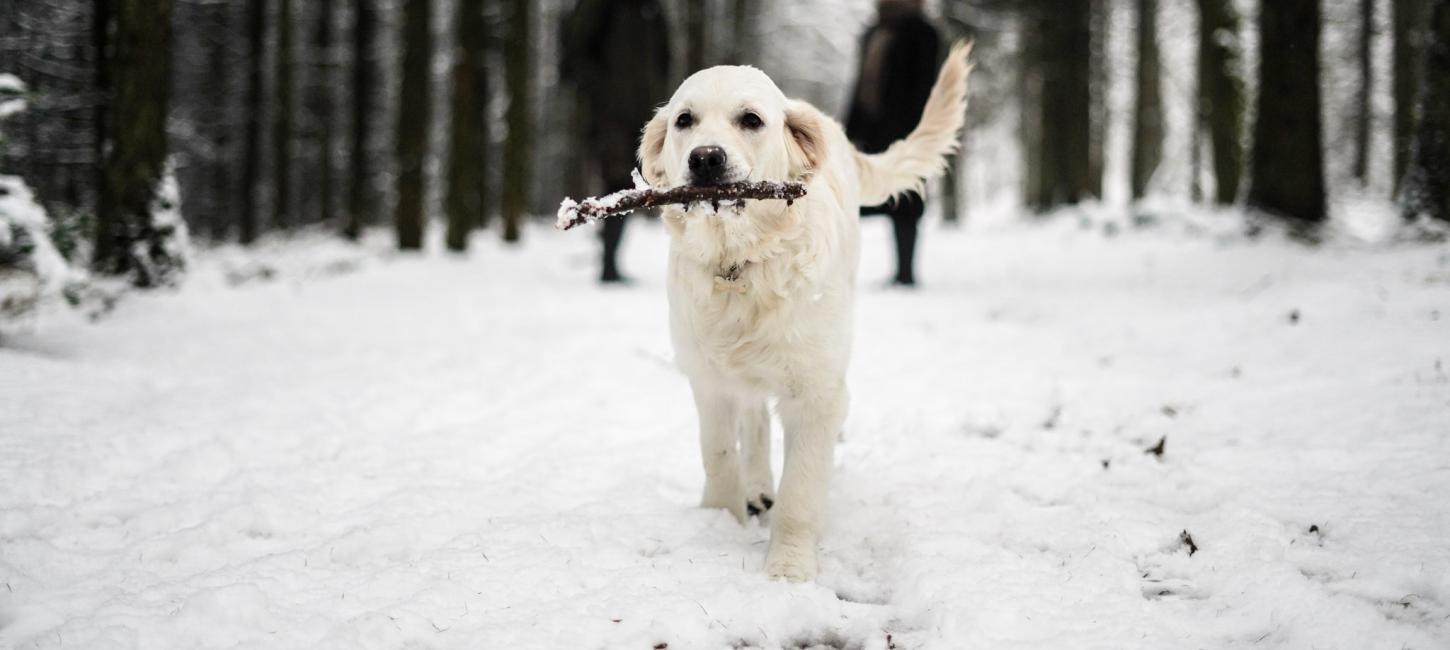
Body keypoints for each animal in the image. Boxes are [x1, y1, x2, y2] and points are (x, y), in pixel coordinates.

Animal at [638, 41, 968, 580]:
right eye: (685, 120)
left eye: (751, 119)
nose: (705, 158)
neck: (743, 265)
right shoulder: (708, 378)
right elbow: (719, 453)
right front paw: (718, 522)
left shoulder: (816, 391)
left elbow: (802, 487)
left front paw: (788, 569)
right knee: (753, 424)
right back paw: (755, 490)